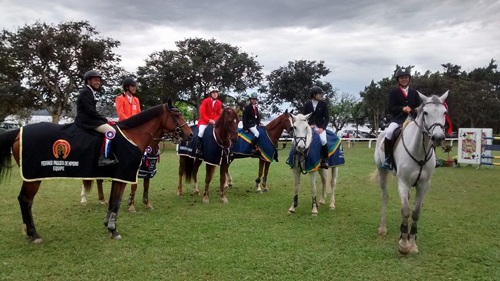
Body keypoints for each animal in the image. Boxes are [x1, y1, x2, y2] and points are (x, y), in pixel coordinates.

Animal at [0, 104, 191, 242]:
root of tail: (18, 133)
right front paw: (113, 230)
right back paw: (34, 234)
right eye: (177, 115)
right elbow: (116, 202)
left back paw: (28, 230)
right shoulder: (123, 176)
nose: (189, 134)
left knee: (24, 200)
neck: (132, 136)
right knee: (26, 200)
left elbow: (114, 201)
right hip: (33, 177)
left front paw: (108, 224)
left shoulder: (118, 176)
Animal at [372, 90, 450, 254]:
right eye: (425, 112)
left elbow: (415, 213)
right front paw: (403, 244)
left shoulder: (423, 185)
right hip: (382, 173)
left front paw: (412, 243)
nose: (438, 138)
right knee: (385, 197)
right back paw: (383, 228)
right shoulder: (403, 182)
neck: (420, 150)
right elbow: (406, 210)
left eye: (444, 112)